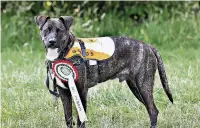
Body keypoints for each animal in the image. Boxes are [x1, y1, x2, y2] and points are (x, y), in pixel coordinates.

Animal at [35, 15, 173, 127]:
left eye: (60, 30)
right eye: (46, 30)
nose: (51, 42)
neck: (66, 52)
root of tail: (148, 46)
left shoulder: (81, 91)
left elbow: (81, 120)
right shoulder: (64, 93)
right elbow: (68, 118)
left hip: (144, 86)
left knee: (153, 111)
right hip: (136, 87)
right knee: (151, 110)